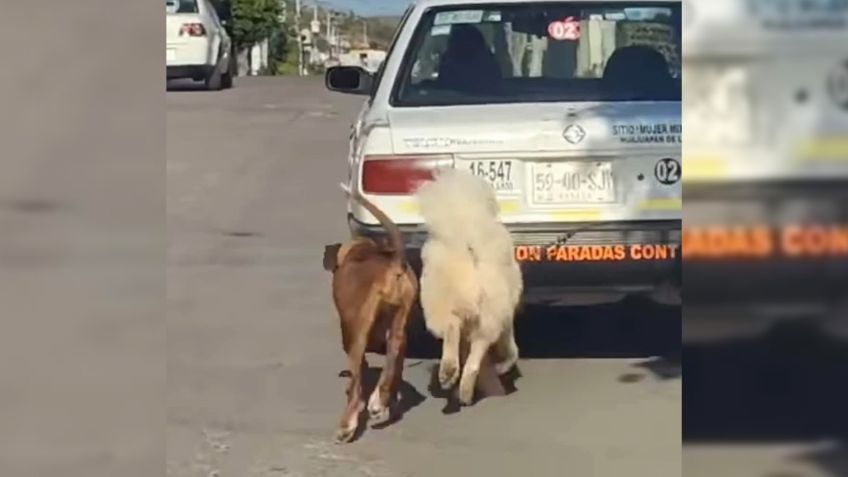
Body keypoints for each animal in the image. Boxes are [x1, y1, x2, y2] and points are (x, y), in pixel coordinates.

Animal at [322, 183, 420, 442]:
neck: (360, 250)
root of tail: (393, 264)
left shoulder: (349, 329)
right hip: (400, 322)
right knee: (395, 352)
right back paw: (380, 400)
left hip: (358, 332)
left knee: (357, 387)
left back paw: (348, 425)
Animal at [412, 167, 524, 402]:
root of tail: (468, 242)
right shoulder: (502, 318)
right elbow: (510, 349)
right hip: (486, 313)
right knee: (472, 353)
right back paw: (461, 386)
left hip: (443, 303)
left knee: (453, 330)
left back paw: (452, 377)